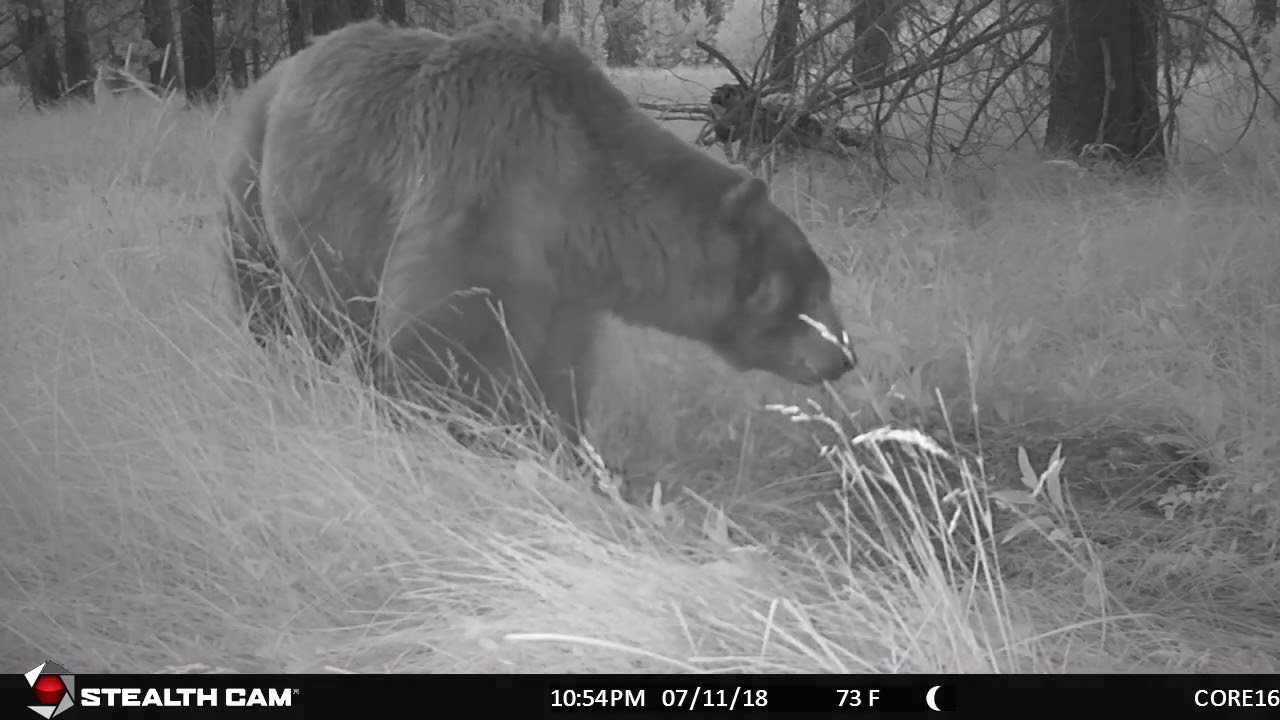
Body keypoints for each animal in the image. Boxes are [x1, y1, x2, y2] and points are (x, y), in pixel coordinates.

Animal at [221, 18, 857, 476]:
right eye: (810, 290)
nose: (845, 357)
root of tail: (279, 70)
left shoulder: (567, 289)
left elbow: (561, 379)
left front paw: (567, 456)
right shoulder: (476, 203)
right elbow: (427, 351)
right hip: (253, 186)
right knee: (267, 295)